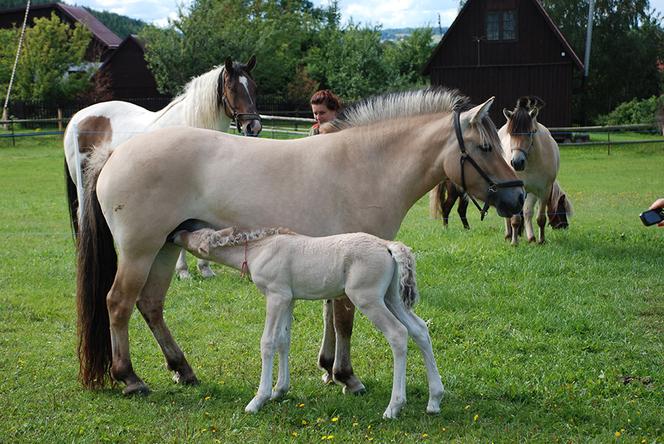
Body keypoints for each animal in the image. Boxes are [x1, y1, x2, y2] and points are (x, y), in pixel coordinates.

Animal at [64, 54, 262, 278]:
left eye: (254, 87)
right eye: (232, 88)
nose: (253, 126)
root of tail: (77, 118)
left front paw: (205, 268)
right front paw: (183, 271)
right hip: (83, 185)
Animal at [76, 88, 524, 400]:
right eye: (486, 147)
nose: (517, 197)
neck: (367, 165)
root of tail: (116, 151)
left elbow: (330, 314)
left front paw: (327, 368)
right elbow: (344, 320)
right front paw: (346, 376)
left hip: (167, 248)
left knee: (150, 304)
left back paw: (182, 369)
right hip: (140, 251)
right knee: (118, 303)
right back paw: (130, 378)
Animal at [170, 225, 440, 420]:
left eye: (194, 236)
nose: (176, 234)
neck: (260, 250)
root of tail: (388, 246)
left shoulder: (276, 295)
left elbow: (267, 342)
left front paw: (258, 399)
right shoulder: (288, 298)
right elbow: (283, 340)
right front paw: (279, 390)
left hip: (368, 298)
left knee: (398, 334)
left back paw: (394, 407)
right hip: (391, 297)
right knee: (420, 330)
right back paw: (434, 400)